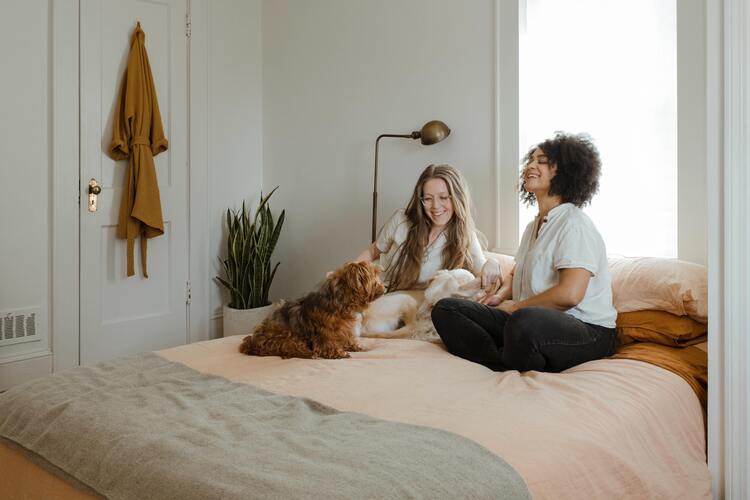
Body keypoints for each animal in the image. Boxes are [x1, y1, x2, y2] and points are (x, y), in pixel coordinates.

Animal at [241, 262, 388, 360]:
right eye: (374, 275)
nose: (386, 286)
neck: (342, 303)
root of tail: (251, 343)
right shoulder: (324, 330)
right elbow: (327, 341)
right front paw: (337, 352)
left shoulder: (345, 329)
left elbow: (348, 338)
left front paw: (354, 346)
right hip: (286, 337)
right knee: (290, 347)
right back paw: (309, 353)